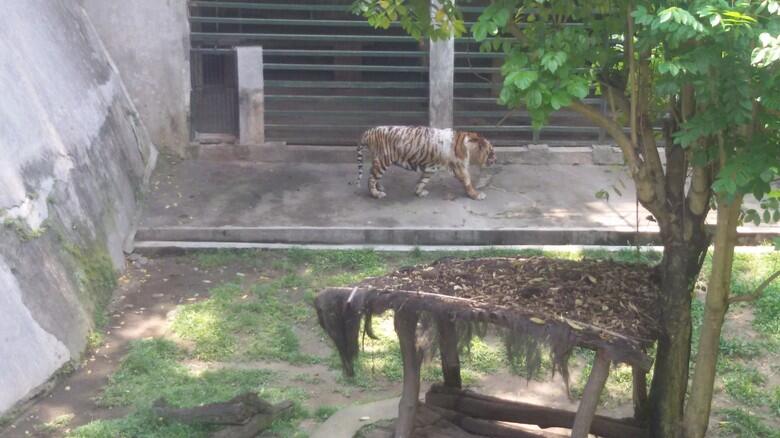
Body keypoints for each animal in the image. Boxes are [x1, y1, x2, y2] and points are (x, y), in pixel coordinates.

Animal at [356, 125, 496, 200]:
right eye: (491, 152)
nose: (496, 160)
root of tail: (369, 131)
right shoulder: (459, 167)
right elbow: (468, 181)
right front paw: (476, 195)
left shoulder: (430, 168)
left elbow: (422, 181)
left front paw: (419, 192)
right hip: (382, 161)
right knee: (371, 178)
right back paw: (376, 193)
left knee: (373, 175)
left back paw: (379, 187)